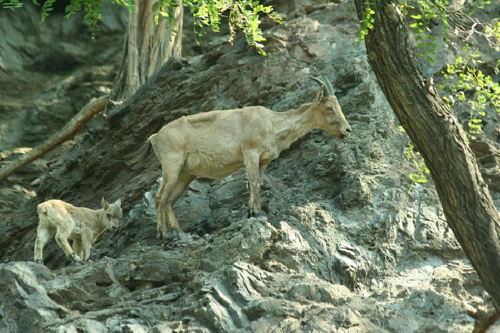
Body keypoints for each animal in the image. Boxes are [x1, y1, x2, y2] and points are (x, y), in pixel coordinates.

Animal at [150, 76, 350, 237]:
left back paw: (179, 232)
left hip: (186, 173)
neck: (272, 124)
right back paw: (163, 234)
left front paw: (251, 212)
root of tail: (154, 137)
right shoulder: (250, 152)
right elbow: (254, 181)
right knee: (161, 197)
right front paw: (259, 213)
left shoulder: (263, 160)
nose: (347, 130)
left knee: (170, 199)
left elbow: (256, 181)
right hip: (172, 164)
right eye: (329, 107)